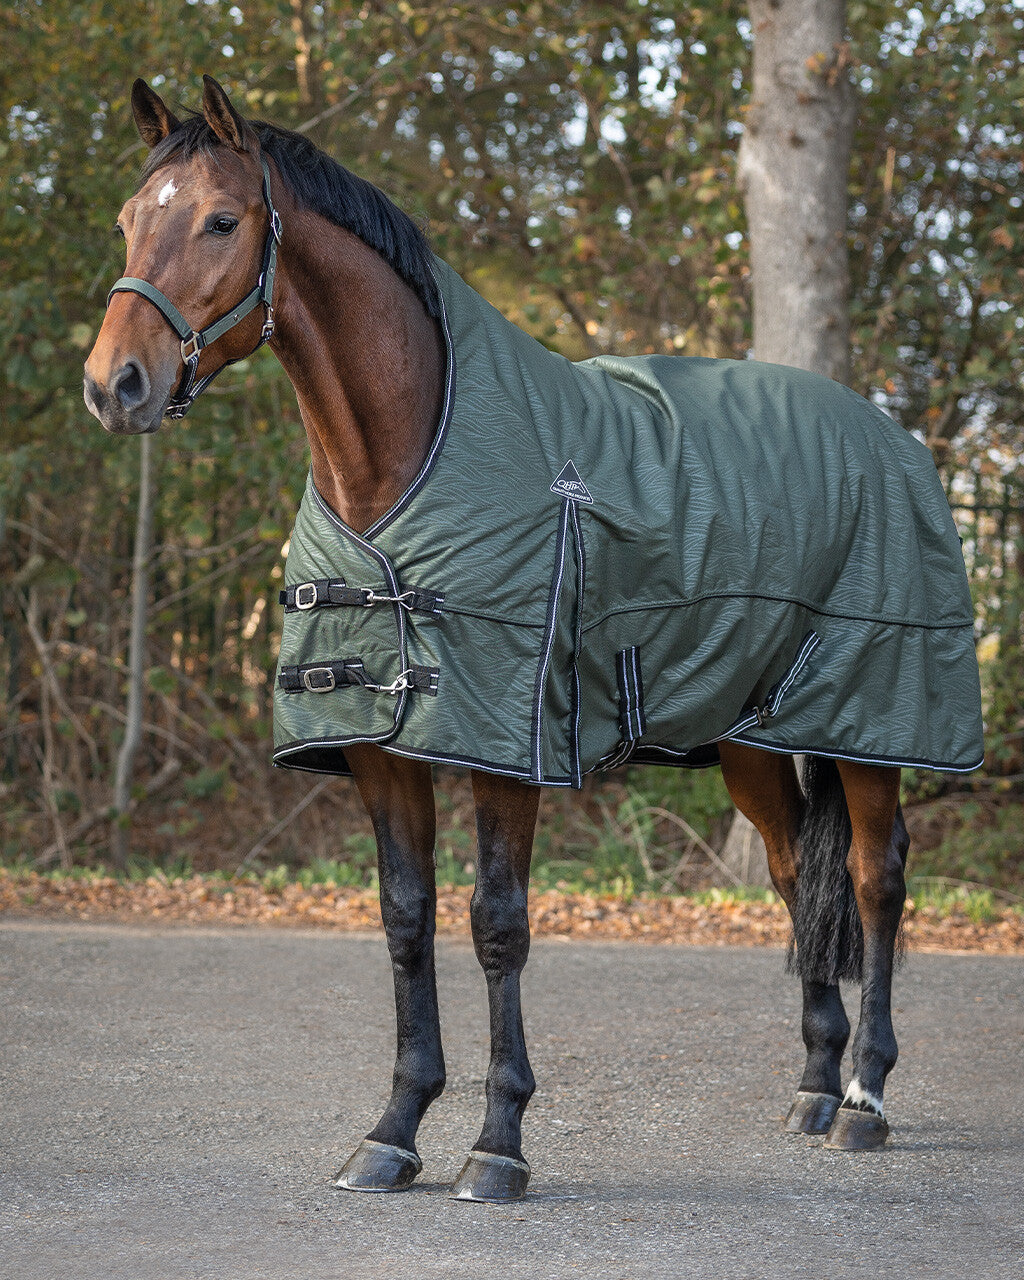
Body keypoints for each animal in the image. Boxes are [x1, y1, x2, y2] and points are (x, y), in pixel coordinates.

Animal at [84, 76, 983, 1203]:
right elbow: (407, 920)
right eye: (128, 218)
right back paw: (815, 1086)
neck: (407, 458)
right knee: (792, 875)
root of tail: (890, 433)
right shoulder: (383, 748)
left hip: (872, 718)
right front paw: (392, 1130)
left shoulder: (506, 746)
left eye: (219, 220)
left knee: (874, 879)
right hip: (750, 737)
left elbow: (496, 925)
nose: (114, 383)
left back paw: (864, 1098)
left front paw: (497, 1142)